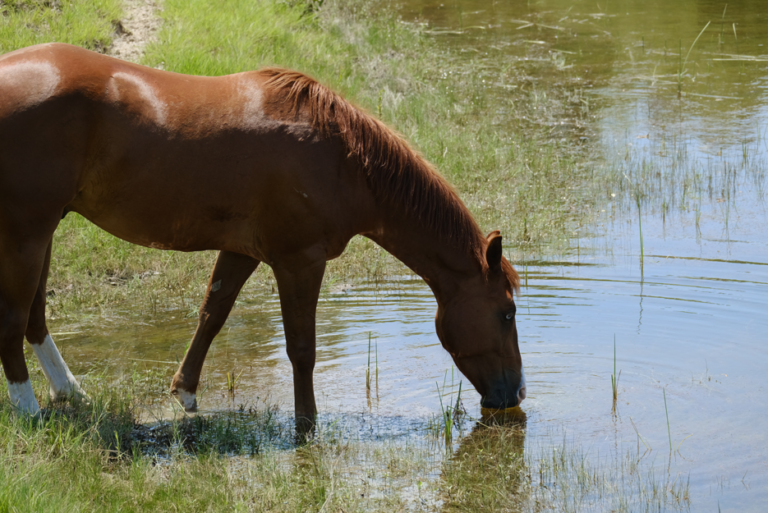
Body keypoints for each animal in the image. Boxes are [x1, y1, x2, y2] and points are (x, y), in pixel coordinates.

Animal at [0, 43, 526, 427]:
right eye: (506, 313)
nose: (517, 392)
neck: (344, 158)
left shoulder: (242, 251)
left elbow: (212, 314)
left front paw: (185, 392)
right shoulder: (300, 261)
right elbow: (302, 349)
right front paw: (307, 425)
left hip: (44, 229)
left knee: (35, 319)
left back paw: (71, 392)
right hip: (26, 234)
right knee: (15, 318)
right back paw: (28, 410)